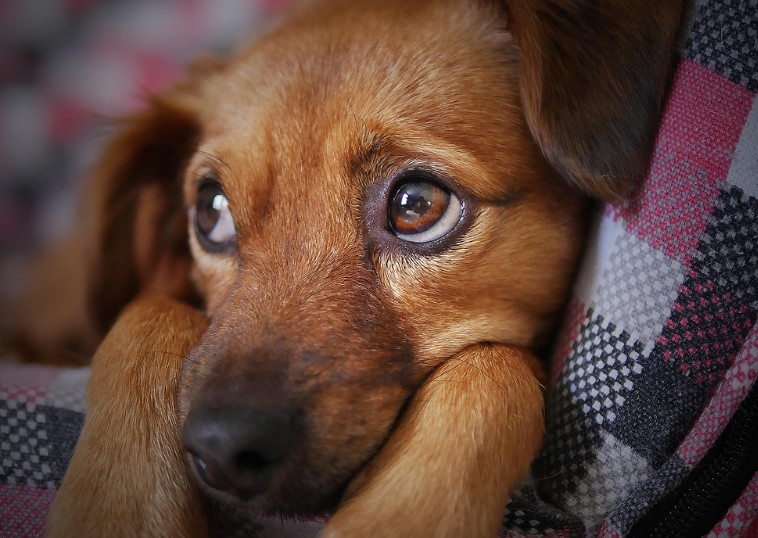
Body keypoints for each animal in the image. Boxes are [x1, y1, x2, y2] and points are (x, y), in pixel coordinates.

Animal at [29, 0, 683, 535]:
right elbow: (148, 312)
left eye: (416, 205)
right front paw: (117, 508)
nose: (221, 449)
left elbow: (493, 366)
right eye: (211, 211)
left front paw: (398, 515)